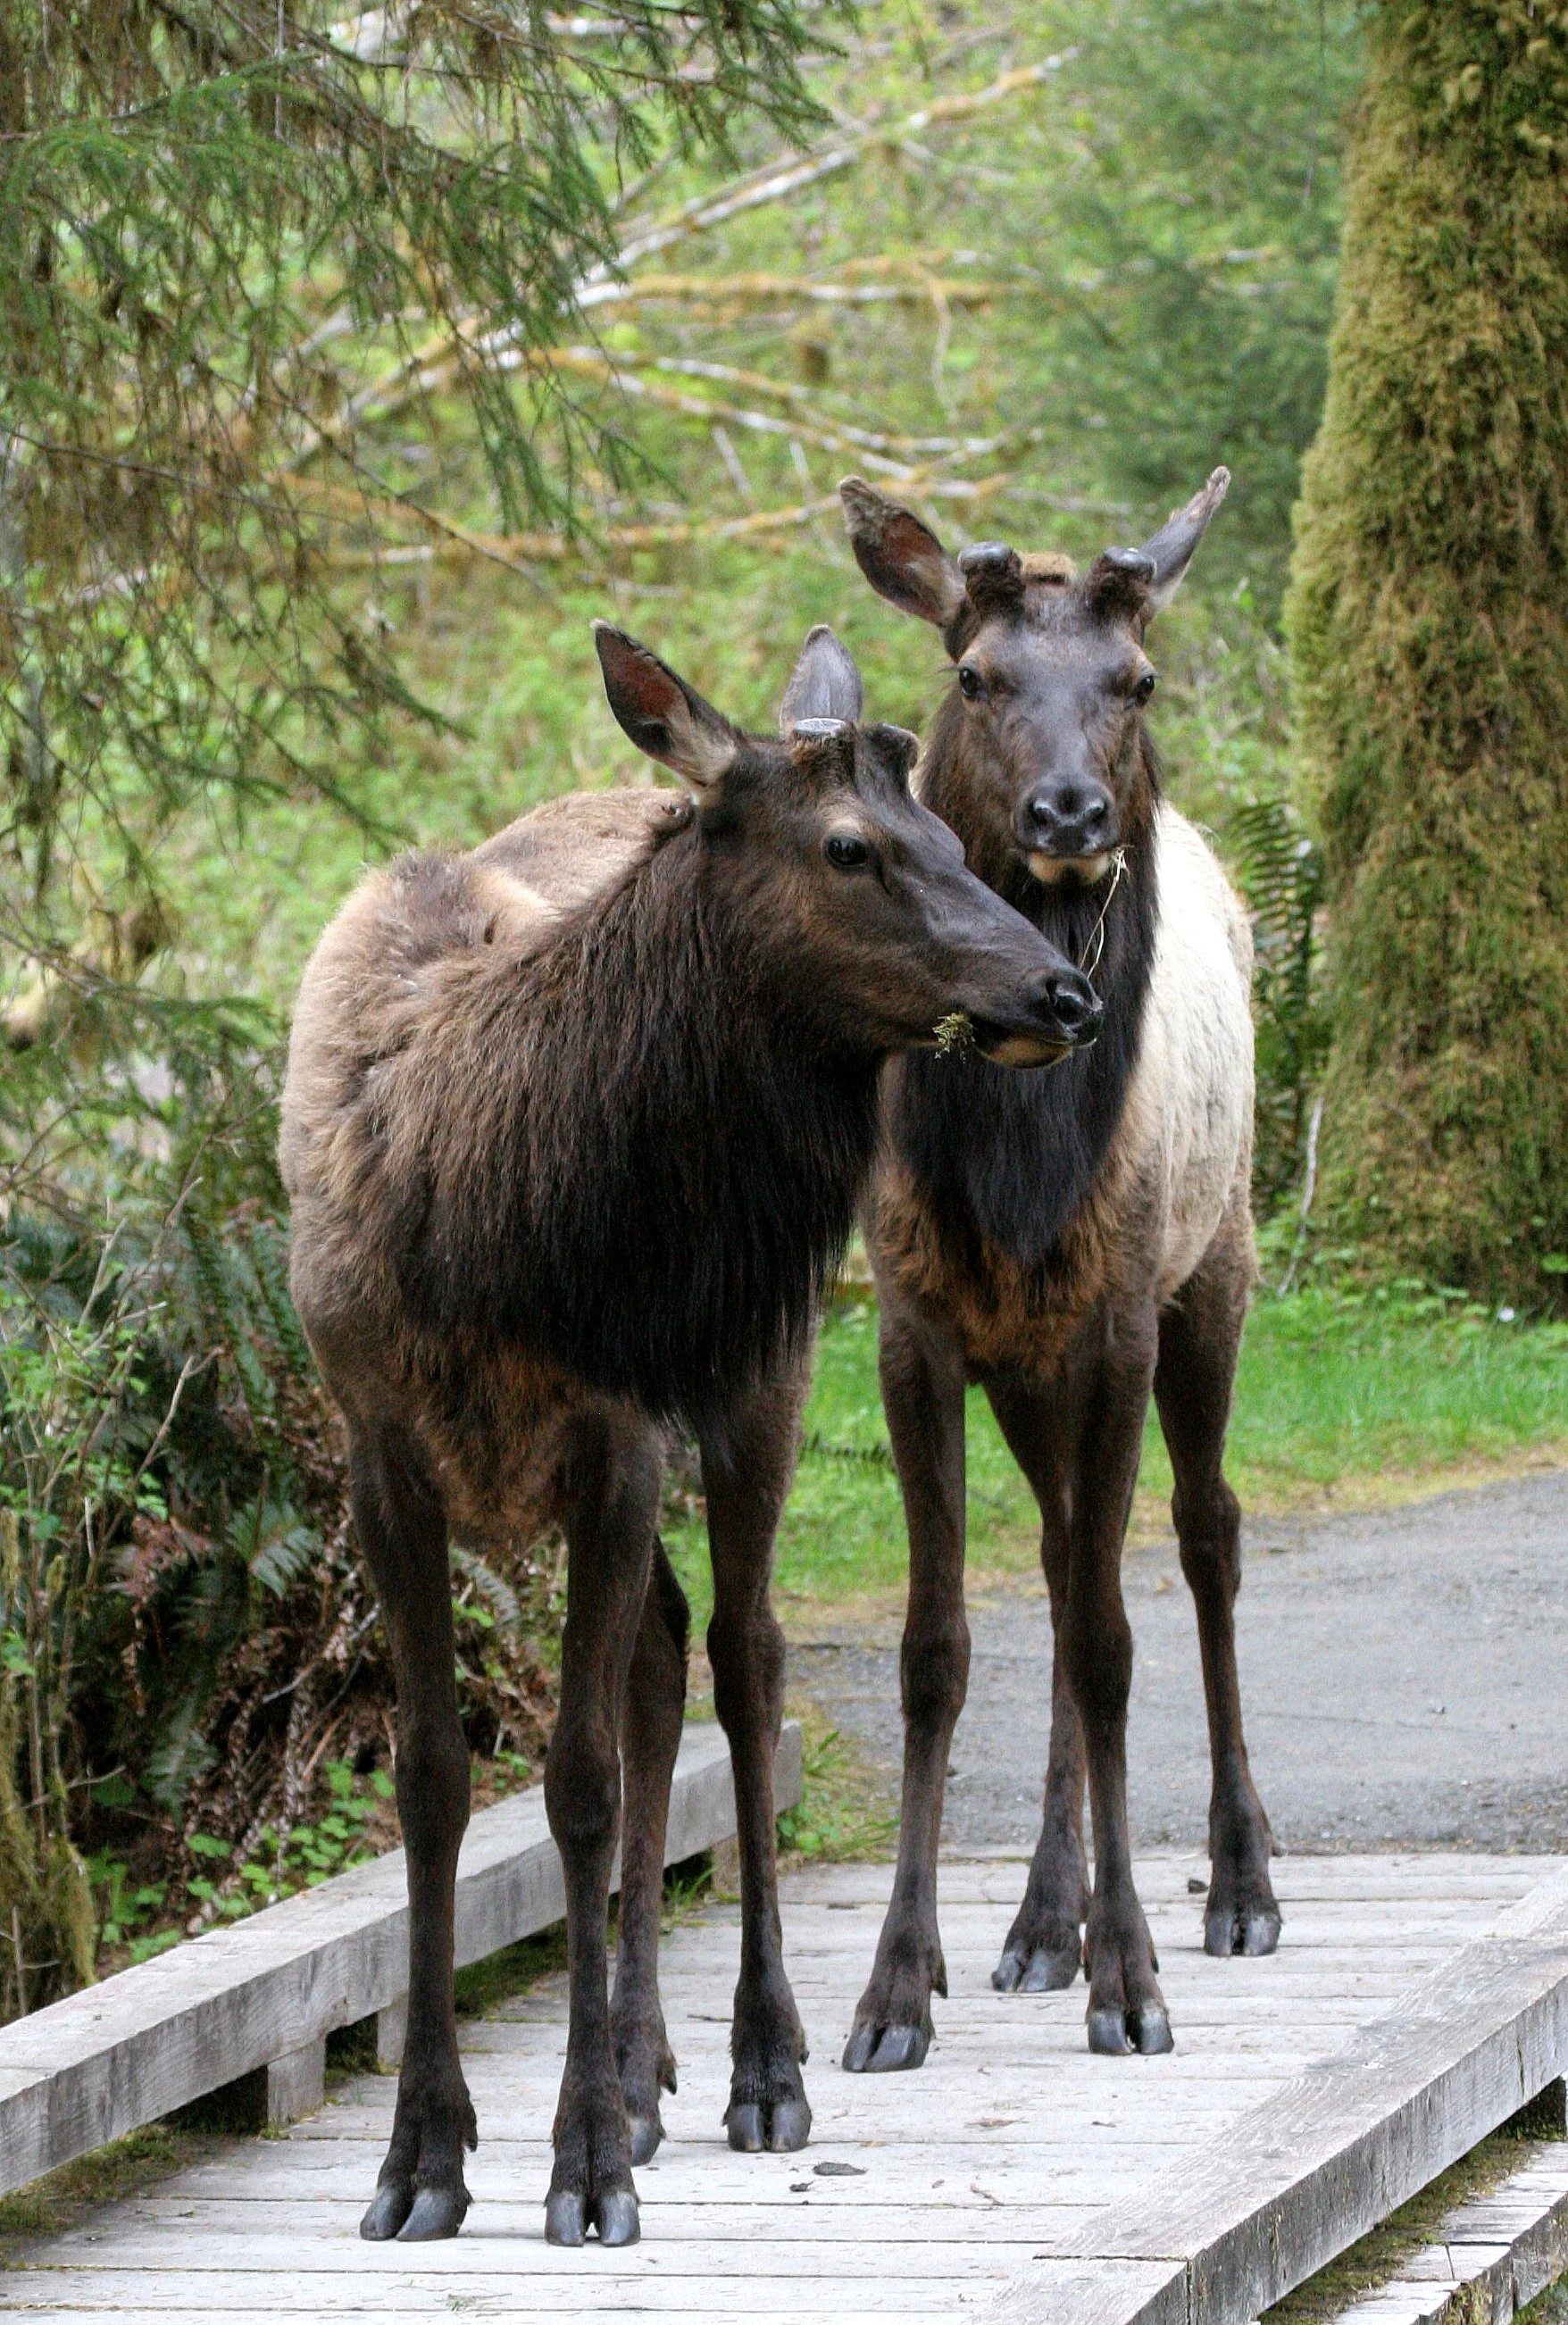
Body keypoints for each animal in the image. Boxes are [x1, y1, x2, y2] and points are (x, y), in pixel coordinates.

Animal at [279, 621, 1103, 2248]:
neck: (479, 1211)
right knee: (666, 1659)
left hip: (753, 1371)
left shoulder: (611, 1432)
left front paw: (580, 2159)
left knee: (743, 1658)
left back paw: (758, 2064)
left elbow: (585, 1781)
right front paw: (426, 2153)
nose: (1061, 991)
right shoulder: (380, 1443)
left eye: (943, 834)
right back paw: (643, 2058)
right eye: (851, 845)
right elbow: (432, 1778)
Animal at [832, 469, 1280, 2076]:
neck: (1019, 1163)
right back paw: (1040, 1915)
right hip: (1027, 1371)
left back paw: (1240, 1878)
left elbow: (1104, 1640)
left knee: (1205, 1536)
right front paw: (897, 1986)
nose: (1070, 810)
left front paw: (1132, 1977)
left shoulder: (1115, 1323)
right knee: (1054, 1547)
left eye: (1134, 679)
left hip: (1216, 1272)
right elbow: (940, 1645)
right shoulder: (916, 1329)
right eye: (976, 675)